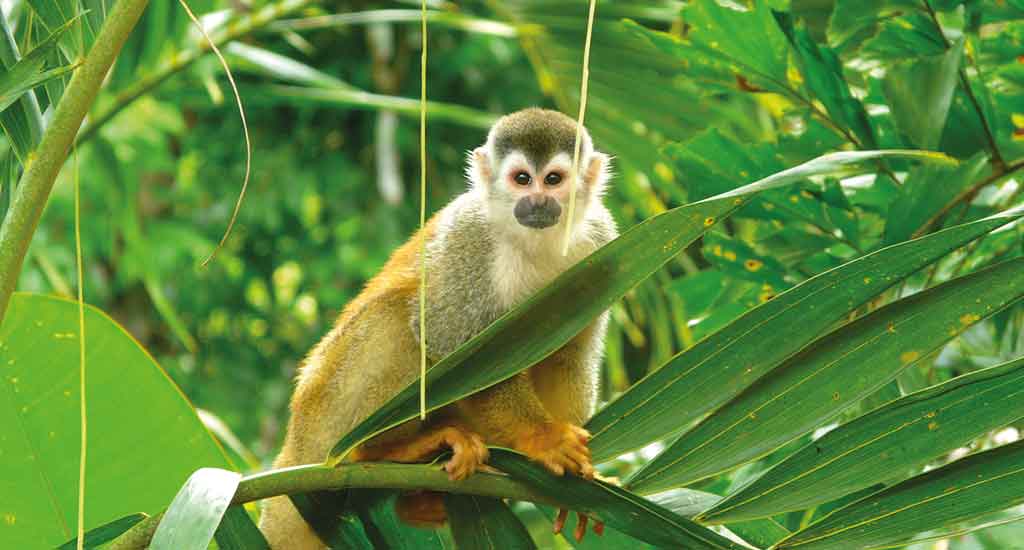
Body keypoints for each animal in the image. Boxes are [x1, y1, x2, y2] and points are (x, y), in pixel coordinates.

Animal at [259, 108, 618, 549]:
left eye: (553, 179)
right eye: (521, 178)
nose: (536, 202)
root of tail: (294, 446)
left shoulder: (603, 242)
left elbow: (570, 358)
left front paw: (578, 483)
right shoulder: (471, 239)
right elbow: (451, 343)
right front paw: (543, 437)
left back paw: (416, 502)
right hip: (325, 413)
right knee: (399, 321)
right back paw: (380, 451)